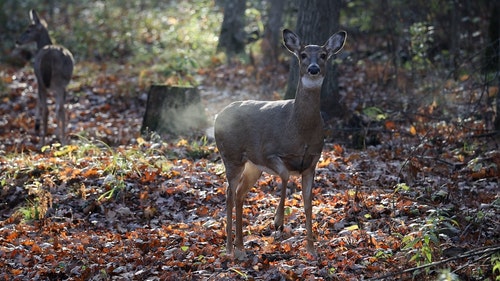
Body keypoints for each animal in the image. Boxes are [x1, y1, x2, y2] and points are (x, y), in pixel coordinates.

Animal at [16, 9, 73, 145]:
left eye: (28, 30)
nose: (17, 41)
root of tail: (49, 58)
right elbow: (58, 107)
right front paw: (57, 134)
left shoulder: (38, 79)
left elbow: (39, 101)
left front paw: (37, 126)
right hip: (60, 81)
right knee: (60, 108)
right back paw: (63, 140)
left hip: (45, 80)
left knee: (47, 109)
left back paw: (42, 141)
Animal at [215, 28, 348, 258]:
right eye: (303, 54)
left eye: (323, 55)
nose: (313, 69)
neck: (298, 130)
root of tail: (217, 116)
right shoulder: (269, 152)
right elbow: (285, 175)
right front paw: (277, 221)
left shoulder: (312, 162)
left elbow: (307, 203)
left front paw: (312, 249)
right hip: (231, 155)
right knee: (229, 194)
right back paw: (231, 248)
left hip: (252, 166)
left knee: (239, 193)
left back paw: (241, 246)